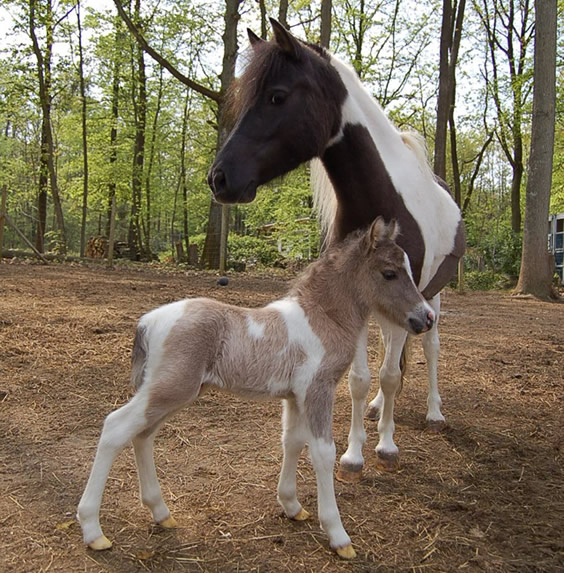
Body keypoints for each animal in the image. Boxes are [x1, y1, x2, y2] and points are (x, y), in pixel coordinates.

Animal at [77, 217, 434, 556]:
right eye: (389, 273)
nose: (427, 317)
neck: (321, 318)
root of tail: (147, 321)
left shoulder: (294, 396)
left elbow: (292, 441)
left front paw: (292, 505)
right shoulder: (317, 390)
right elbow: (322, 452)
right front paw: (338, 535)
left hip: (173, 393)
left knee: (143, 435)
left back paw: (160, 512)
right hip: (170, 389)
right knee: (116, 427)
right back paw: (93, 530)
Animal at [209, 19, 464, 478]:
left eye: (277, 96)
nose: (219, 179)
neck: (381, 201)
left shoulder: (408, 293)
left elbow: (391, 374)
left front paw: (386, 445)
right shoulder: (361, 300)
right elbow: (361, 379)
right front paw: (354, 452)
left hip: (433, 295)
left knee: (431, 346)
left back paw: (434, 413)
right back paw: (381, 409)